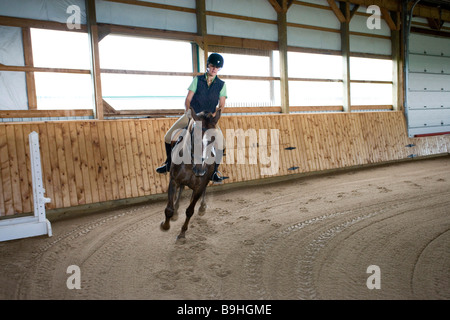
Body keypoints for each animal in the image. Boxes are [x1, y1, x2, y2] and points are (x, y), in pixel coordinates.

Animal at [160, 109, 221, 239]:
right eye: (194, 135)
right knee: (181, 190)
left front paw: (182, 233)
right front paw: (165, 226)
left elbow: (190, 210)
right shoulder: (174, 180)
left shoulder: (199, 186)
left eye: (213, 138)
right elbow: (169, 209)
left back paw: (202, 207)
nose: (200, 170)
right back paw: (176, 212)